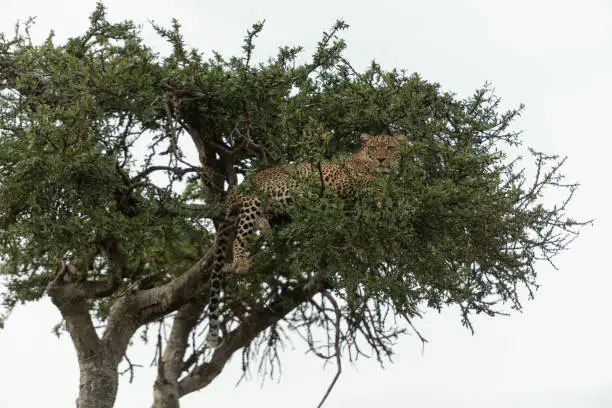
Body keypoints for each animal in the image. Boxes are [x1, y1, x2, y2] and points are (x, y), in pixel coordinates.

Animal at [204, 133, 406, 348]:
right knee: (240, 236)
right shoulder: (340, 182)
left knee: (261, 220)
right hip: (253, 201)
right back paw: (240, 262)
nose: (381, 159)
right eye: (374, 148)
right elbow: (371, 183)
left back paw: (266, 229)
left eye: (391, 148)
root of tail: (239, 186)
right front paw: (384, 192)